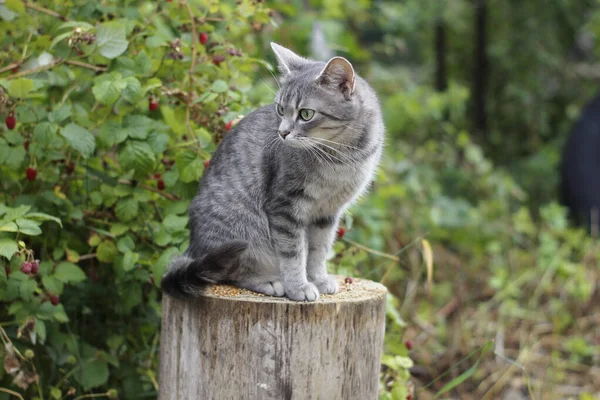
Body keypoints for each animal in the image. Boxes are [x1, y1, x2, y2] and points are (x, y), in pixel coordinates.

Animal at [159, 43, 384, 300]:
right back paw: (268, 281)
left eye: (306, 114)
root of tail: (193, 248)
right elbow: (293, 253)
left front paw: (318, 279)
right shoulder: (285, 206)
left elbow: (318, 251)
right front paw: (299, 287)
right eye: (280, 109)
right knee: (229, 272)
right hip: (241, 235)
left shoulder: (327, 213)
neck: (339, 158)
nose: (282, 132)